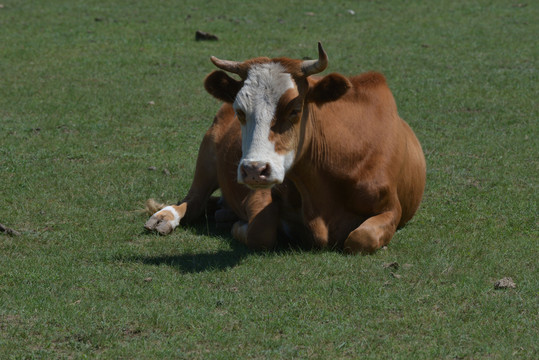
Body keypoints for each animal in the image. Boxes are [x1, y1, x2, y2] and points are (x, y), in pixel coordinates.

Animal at [144, 43, 426, 253]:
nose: (254, 170)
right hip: (207, 157)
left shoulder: (392, 208)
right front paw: (238, 227)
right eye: (240, 111)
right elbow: (261, 230)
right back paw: (166, 217)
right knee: (193, 200)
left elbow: (362, 238)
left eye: (294, 109)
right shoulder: (260, 193)